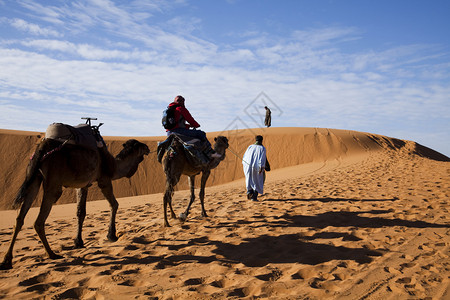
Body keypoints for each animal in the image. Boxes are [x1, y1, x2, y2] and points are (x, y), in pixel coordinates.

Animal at [0, 138, 151, 270]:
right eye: (141, 145)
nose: (148, 147)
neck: (113, 165)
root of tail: (42, 148)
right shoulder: (104, 179)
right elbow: (114, 204)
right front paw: (111, 235)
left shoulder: (83, 185)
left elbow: (80, 212)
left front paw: (78, 242)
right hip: (53, 184)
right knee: (39, 221)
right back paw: (52, 254)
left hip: (34, 179)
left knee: (19, 219)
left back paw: (7, 261)